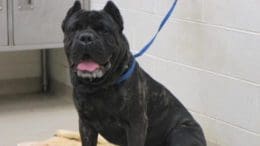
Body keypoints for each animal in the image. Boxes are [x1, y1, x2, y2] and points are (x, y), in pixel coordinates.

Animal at [62, 1, 206, 146]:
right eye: (74, 29)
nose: (86, 37)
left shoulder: (136, 124)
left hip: (180, 132)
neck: (99, 85)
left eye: (104, 30)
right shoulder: (86, 125)